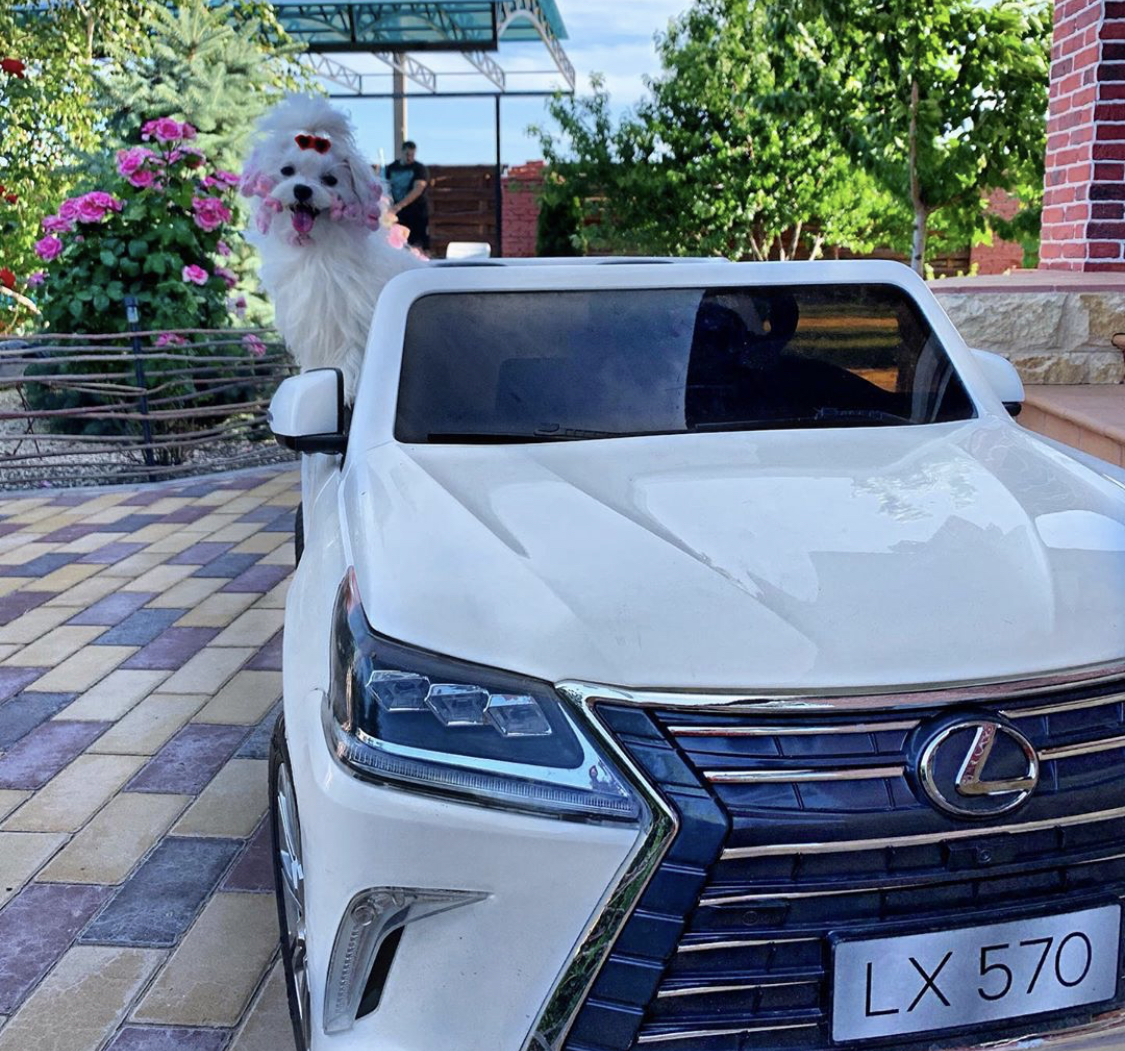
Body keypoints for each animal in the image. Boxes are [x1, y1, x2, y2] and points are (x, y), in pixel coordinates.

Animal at [241, 95, 425, 402]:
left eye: (330, 180)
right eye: (287, 170)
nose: (302, 190)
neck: (318, 246)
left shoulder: (350, 317)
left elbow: (349, 357)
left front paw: (346, 388)